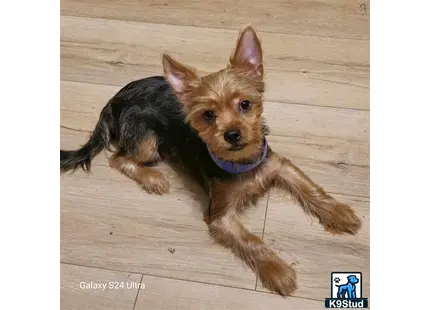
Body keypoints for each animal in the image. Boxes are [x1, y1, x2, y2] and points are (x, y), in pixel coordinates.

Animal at [60, 26, 362, 296]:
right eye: (208, 115)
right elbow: (250, 240)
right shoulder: (220, 215)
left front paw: (339, 213)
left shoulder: (278, 166)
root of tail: (114, 100)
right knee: (119, 157)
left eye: (245, 104)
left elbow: (310, 187)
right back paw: (154, 178)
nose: (232, 134)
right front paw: (277, 271)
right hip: (147, 142)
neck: (240, 161)